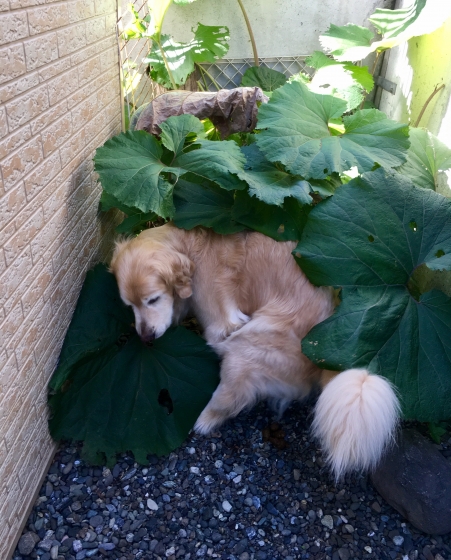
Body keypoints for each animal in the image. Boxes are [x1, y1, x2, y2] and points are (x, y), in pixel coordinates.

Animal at [110, 223, 400, 479]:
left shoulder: (223, 323)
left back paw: (203, 418)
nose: (146, 338)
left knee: (229, 398)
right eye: (129, 305)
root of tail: (323, 360)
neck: (188, 248)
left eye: (153, 299)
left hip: (245, 346)